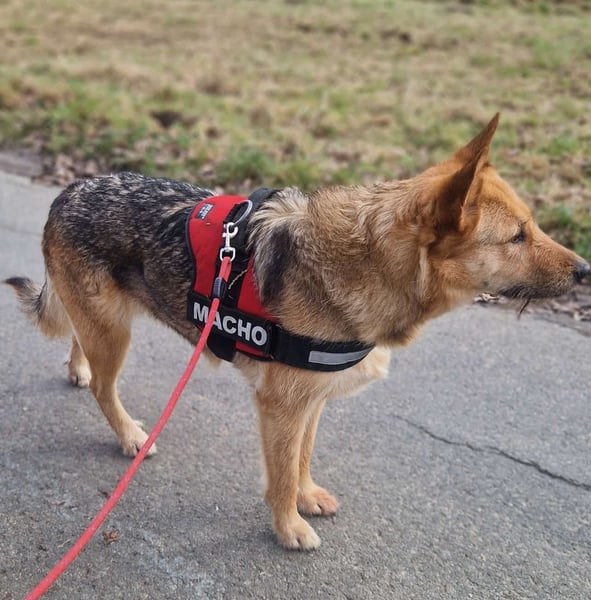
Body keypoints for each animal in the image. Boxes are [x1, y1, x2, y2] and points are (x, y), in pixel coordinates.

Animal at [6, 114, 590, 550]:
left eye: (533, 226)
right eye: (517, 237)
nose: (586, 272)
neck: (363, 263)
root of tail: (70, 188)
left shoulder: (312, 401)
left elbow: (302, 459)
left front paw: (306, 497)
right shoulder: (282, 406)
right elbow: (282, 474)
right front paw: (289, 527)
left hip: (103, 321)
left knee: (78, 338)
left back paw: (79, 369)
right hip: (115, 334)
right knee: (107, 391)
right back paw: (129, 434)